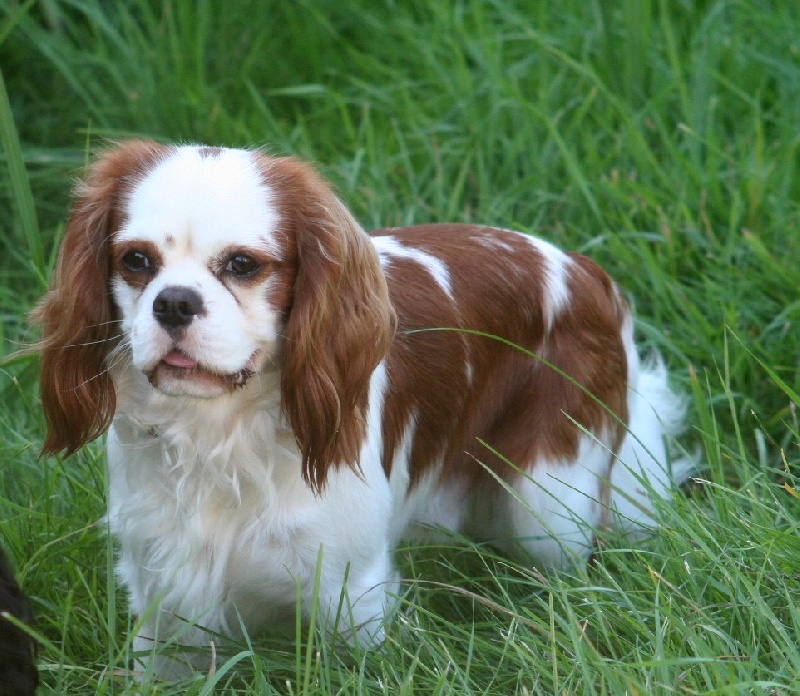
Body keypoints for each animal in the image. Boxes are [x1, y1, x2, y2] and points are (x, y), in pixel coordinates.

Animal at [36, 141, 688, 680]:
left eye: (243, 265)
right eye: (136, 261)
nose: (173, 302)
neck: (220, 435)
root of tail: (588, 274)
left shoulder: (351, 595)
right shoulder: (164, 596)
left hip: (545, 504)